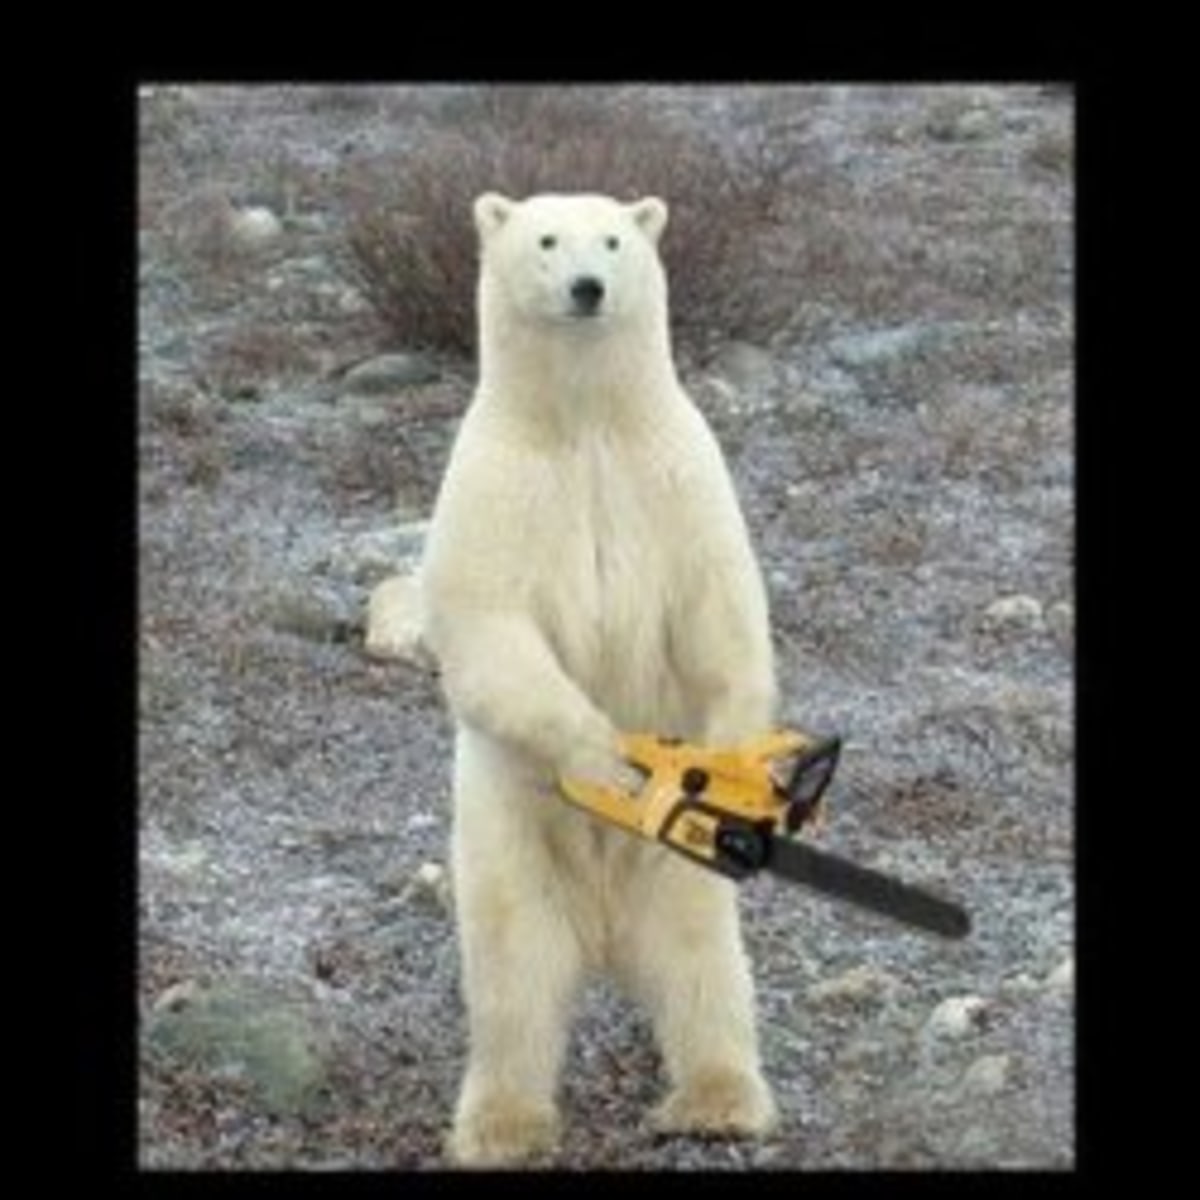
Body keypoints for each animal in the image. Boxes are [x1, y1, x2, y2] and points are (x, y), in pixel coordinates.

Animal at [420, 192, 779, 1166]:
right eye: (547, 240)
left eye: (614, 240)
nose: (588, 286)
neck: (584, 426)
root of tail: (606, 936)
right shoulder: (493, 490)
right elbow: (490, 627)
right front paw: (609, 760)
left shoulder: (679, 478)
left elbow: (721, 612)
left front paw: (732, 753)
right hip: (508, 844)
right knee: (514, 984)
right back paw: (502, 1125)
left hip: (680, 871)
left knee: (702, 966)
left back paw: (717, 1100)